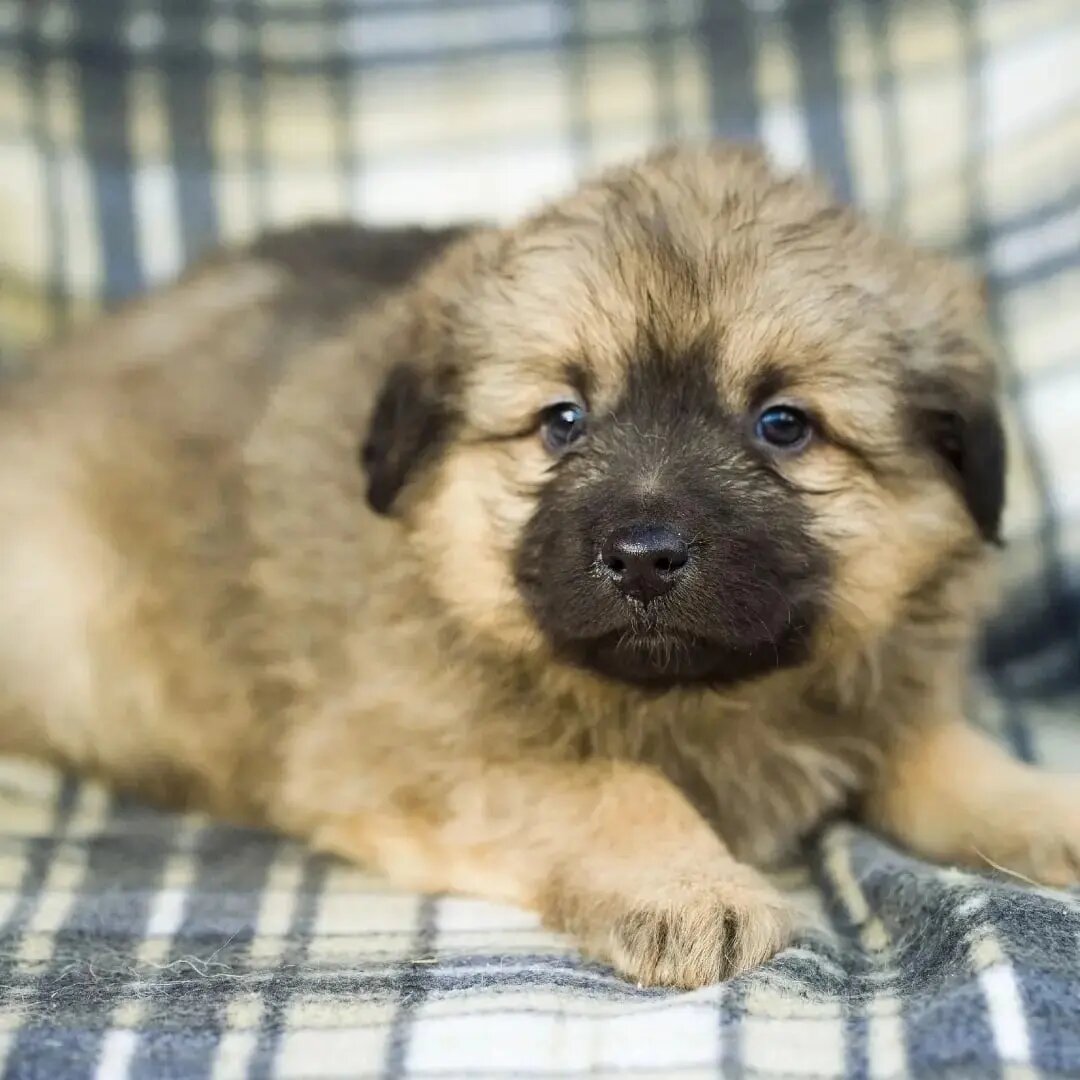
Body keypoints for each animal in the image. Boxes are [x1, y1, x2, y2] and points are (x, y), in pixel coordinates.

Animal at [2, 147, 1080, 989]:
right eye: (563, 420)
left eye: (784, 425)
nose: (644, 559)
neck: (701, 700)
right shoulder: (403, 751)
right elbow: (611, 785)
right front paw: (694, 885)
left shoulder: (878, 699)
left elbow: (958, 762)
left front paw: (1047, 808)